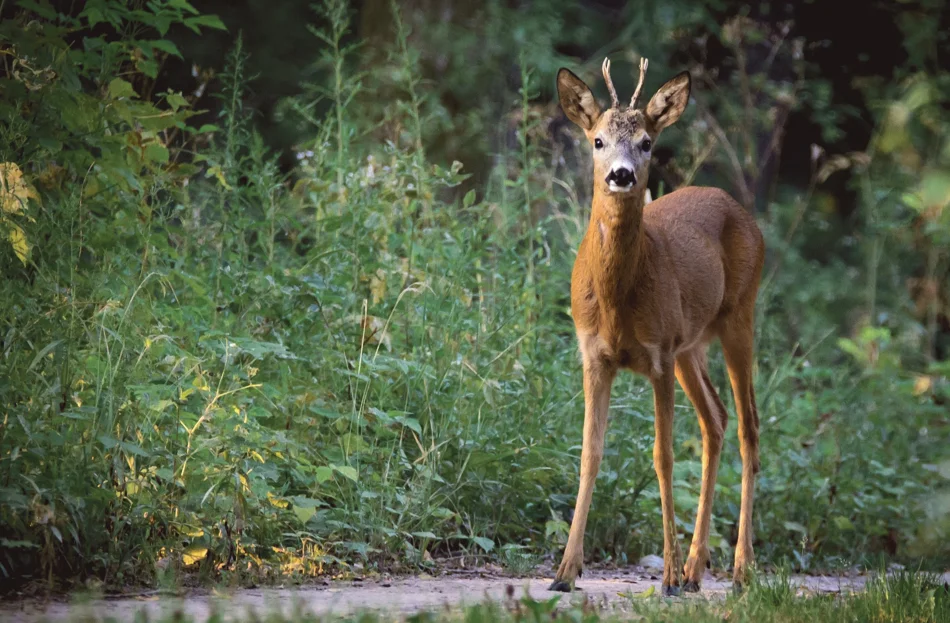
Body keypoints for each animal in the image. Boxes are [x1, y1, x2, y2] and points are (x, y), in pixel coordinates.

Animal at [552, 57, 768, 596]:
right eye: (597, 140)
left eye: (647, 141)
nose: (622, 175)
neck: (617, 302)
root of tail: (739, 208)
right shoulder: (594, 355)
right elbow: (590, 453)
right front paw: (565, 571)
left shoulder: (659, 354)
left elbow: (663, 456)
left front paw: (665, 575)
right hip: (692, 345)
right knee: (716, 420)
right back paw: (695, 567)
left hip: (738, 316)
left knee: (749, 428)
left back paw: (739, 568)